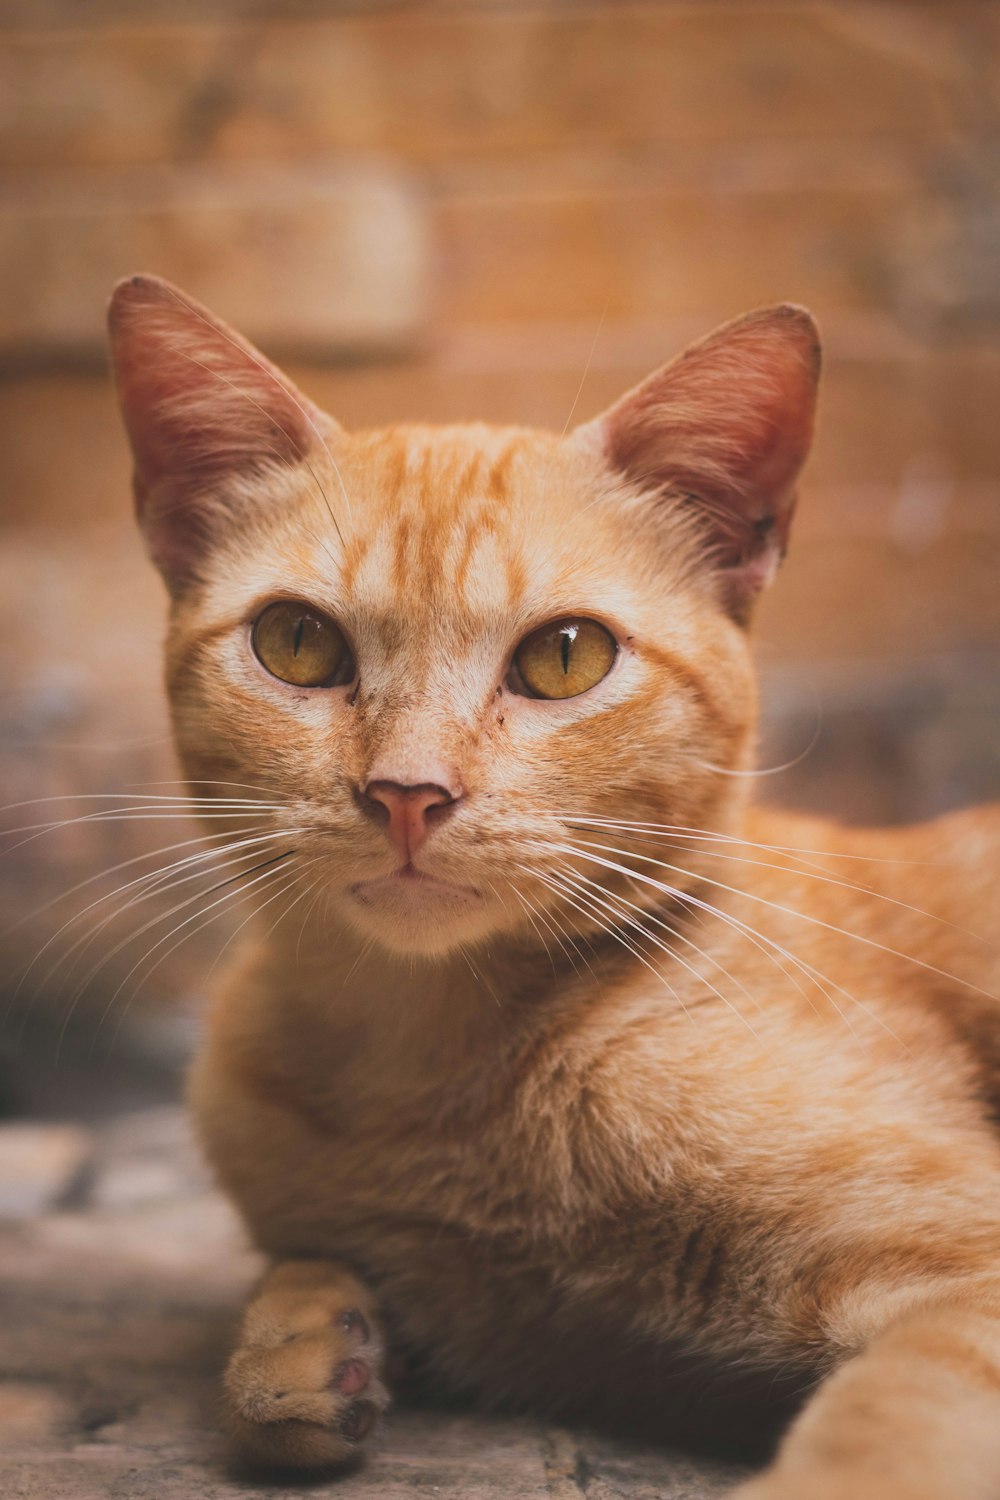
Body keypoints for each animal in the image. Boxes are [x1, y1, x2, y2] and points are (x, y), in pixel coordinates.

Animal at [109, 273, 1000, 1500]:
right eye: (295, 643)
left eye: (565, 656)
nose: (407, 793)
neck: (424, 1074)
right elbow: (291, 1298)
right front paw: (304, 1342)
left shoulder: (966, 1276)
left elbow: (882, 1433)